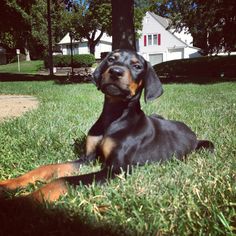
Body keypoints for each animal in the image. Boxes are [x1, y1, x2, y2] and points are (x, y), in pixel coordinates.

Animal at [0, 48, 214, 202]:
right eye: (111, 59)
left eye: (137, 66)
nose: (116, 71)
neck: (114, 116)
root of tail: (191, 132)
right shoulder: (88, 158)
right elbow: (48, 168)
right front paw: (9, 184)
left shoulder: (117, 169)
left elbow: (62, 181)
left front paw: (23, 203)